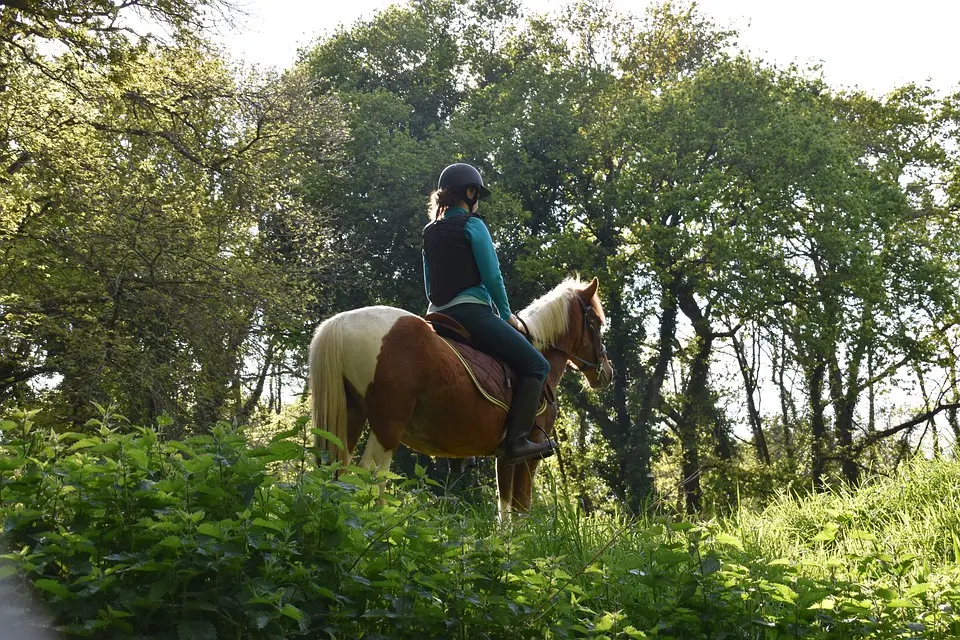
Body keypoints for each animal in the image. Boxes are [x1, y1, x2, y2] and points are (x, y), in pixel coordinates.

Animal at [308, 276, 616, 520]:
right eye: (596, 322)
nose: (607, 373)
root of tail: (340, 323)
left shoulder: (505, 457)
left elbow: (505, 509)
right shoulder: (529, 453)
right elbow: (520, 508)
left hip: (351, 421)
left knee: (341, 474)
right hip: (388, 426)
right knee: (370, 476)